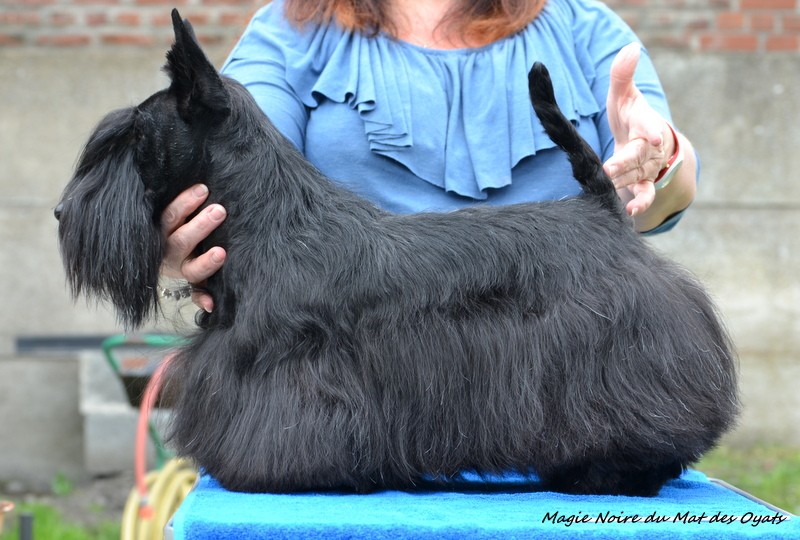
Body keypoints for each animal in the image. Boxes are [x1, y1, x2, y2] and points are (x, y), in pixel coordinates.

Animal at [55, 9, 738, 497]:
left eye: (135, 137)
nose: (62, 214)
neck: (272, 221)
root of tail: (602, 210)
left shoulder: (290, 368)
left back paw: (615, 472)